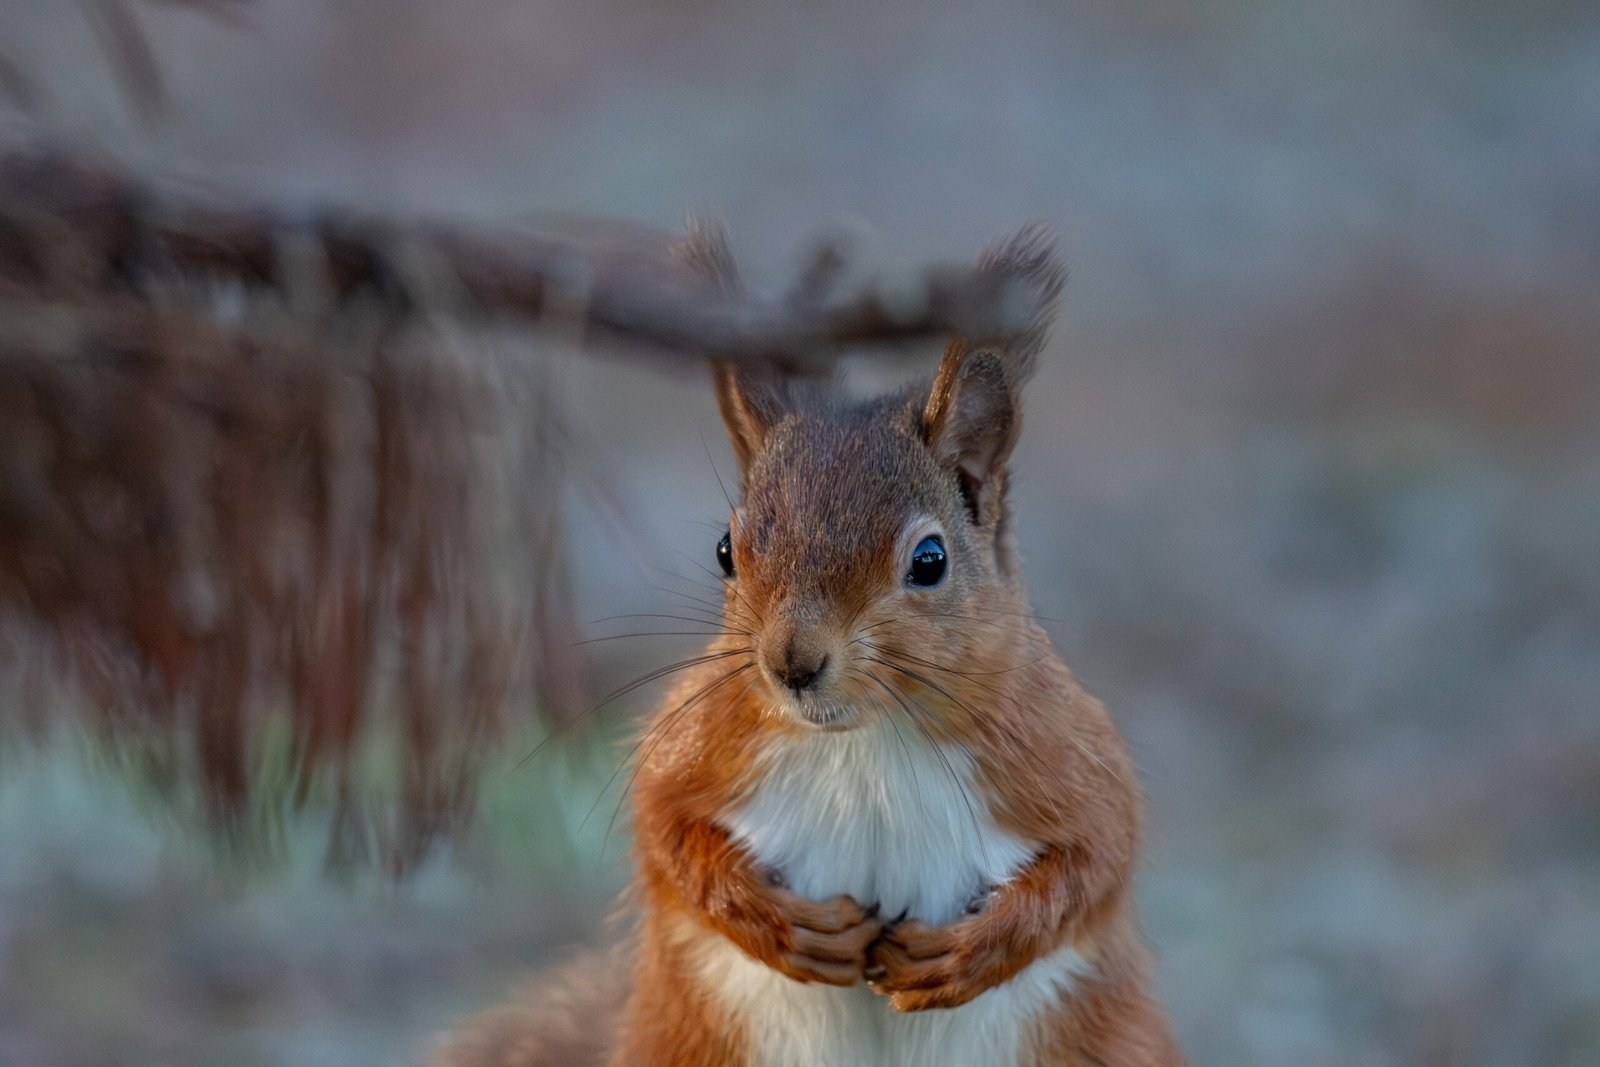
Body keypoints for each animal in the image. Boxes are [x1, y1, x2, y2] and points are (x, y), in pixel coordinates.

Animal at [434, 224, 1185, 1067]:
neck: (864, 742)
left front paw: (967, 953)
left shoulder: (1065, 753)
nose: (792, 663)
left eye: (931, 560)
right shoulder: (698, 742)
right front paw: (782, 924)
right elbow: (664, 834)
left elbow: (1099, 857)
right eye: (725, 550)